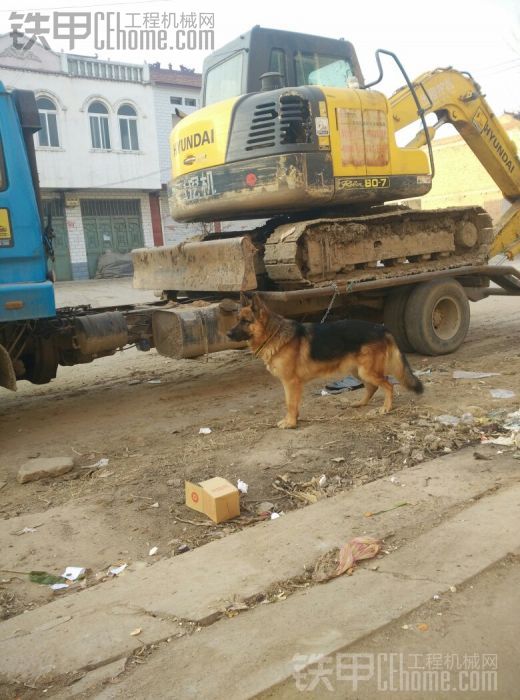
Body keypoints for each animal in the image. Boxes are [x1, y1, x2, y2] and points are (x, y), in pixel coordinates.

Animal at [228, 292, 422, 430]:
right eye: (237, 320)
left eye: (245, 321)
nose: (228, 334)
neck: (273, 334)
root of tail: (382, 328)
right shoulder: (291, 384)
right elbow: (292, 404)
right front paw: (293, 420)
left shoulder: (290, 382)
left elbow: (290, 403)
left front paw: (290, 423)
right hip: (357, 370)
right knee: (372, 387)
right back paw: (360, 403)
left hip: (366, 371)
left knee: (388, 385)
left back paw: (386, 408)